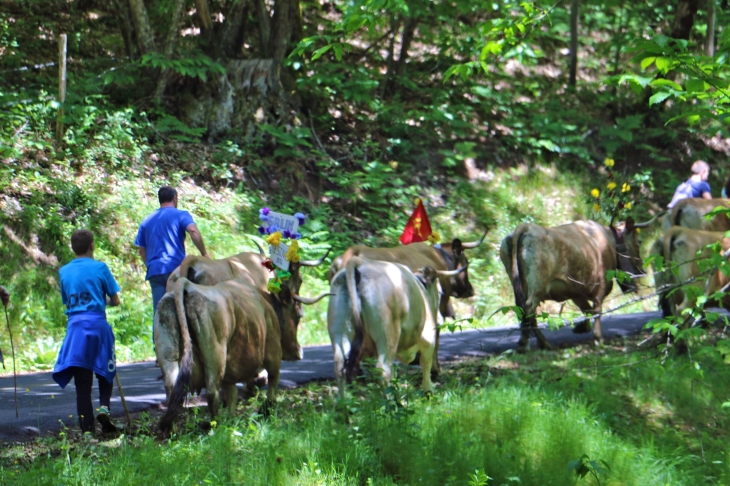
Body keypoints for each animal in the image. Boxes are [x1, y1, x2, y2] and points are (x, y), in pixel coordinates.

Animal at [159, 278, 330, 430]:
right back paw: (216, 425)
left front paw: (232, 417)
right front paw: (266, 410)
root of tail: (187, 284)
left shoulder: (230, 374)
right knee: (212, 392)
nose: (298, 352)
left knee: (172, 388)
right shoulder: (273, 350)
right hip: (216, 354)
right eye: (298, 315)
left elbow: (232, 393)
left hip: (169, 353)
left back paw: (172, 428)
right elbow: (273, 380)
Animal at [326, 256, 464, 396]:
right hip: (388, 334)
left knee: (340, 367)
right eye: (440, 292)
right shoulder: (428, 338)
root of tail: (359, 263)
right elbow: (426, 364)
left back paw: (344, 399)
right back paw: (391, 399)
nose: (440, 319)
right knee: (383, 369)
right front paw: (428, 390)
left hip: (338, 331)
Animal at [498, 218, 652, 352]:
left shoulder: (575, 291)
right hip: (537, 285)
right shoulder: (601, 284)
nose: (642, 270)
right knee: (529, 309)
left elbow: (587, 309)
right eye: (639, 241)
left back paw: (544, 344)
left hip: (521, 284)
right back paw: (526, 343)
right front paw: (598, 338)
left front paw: (583, 327)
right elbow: (596, 310)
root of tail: (527, 226)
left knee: (523, 310)